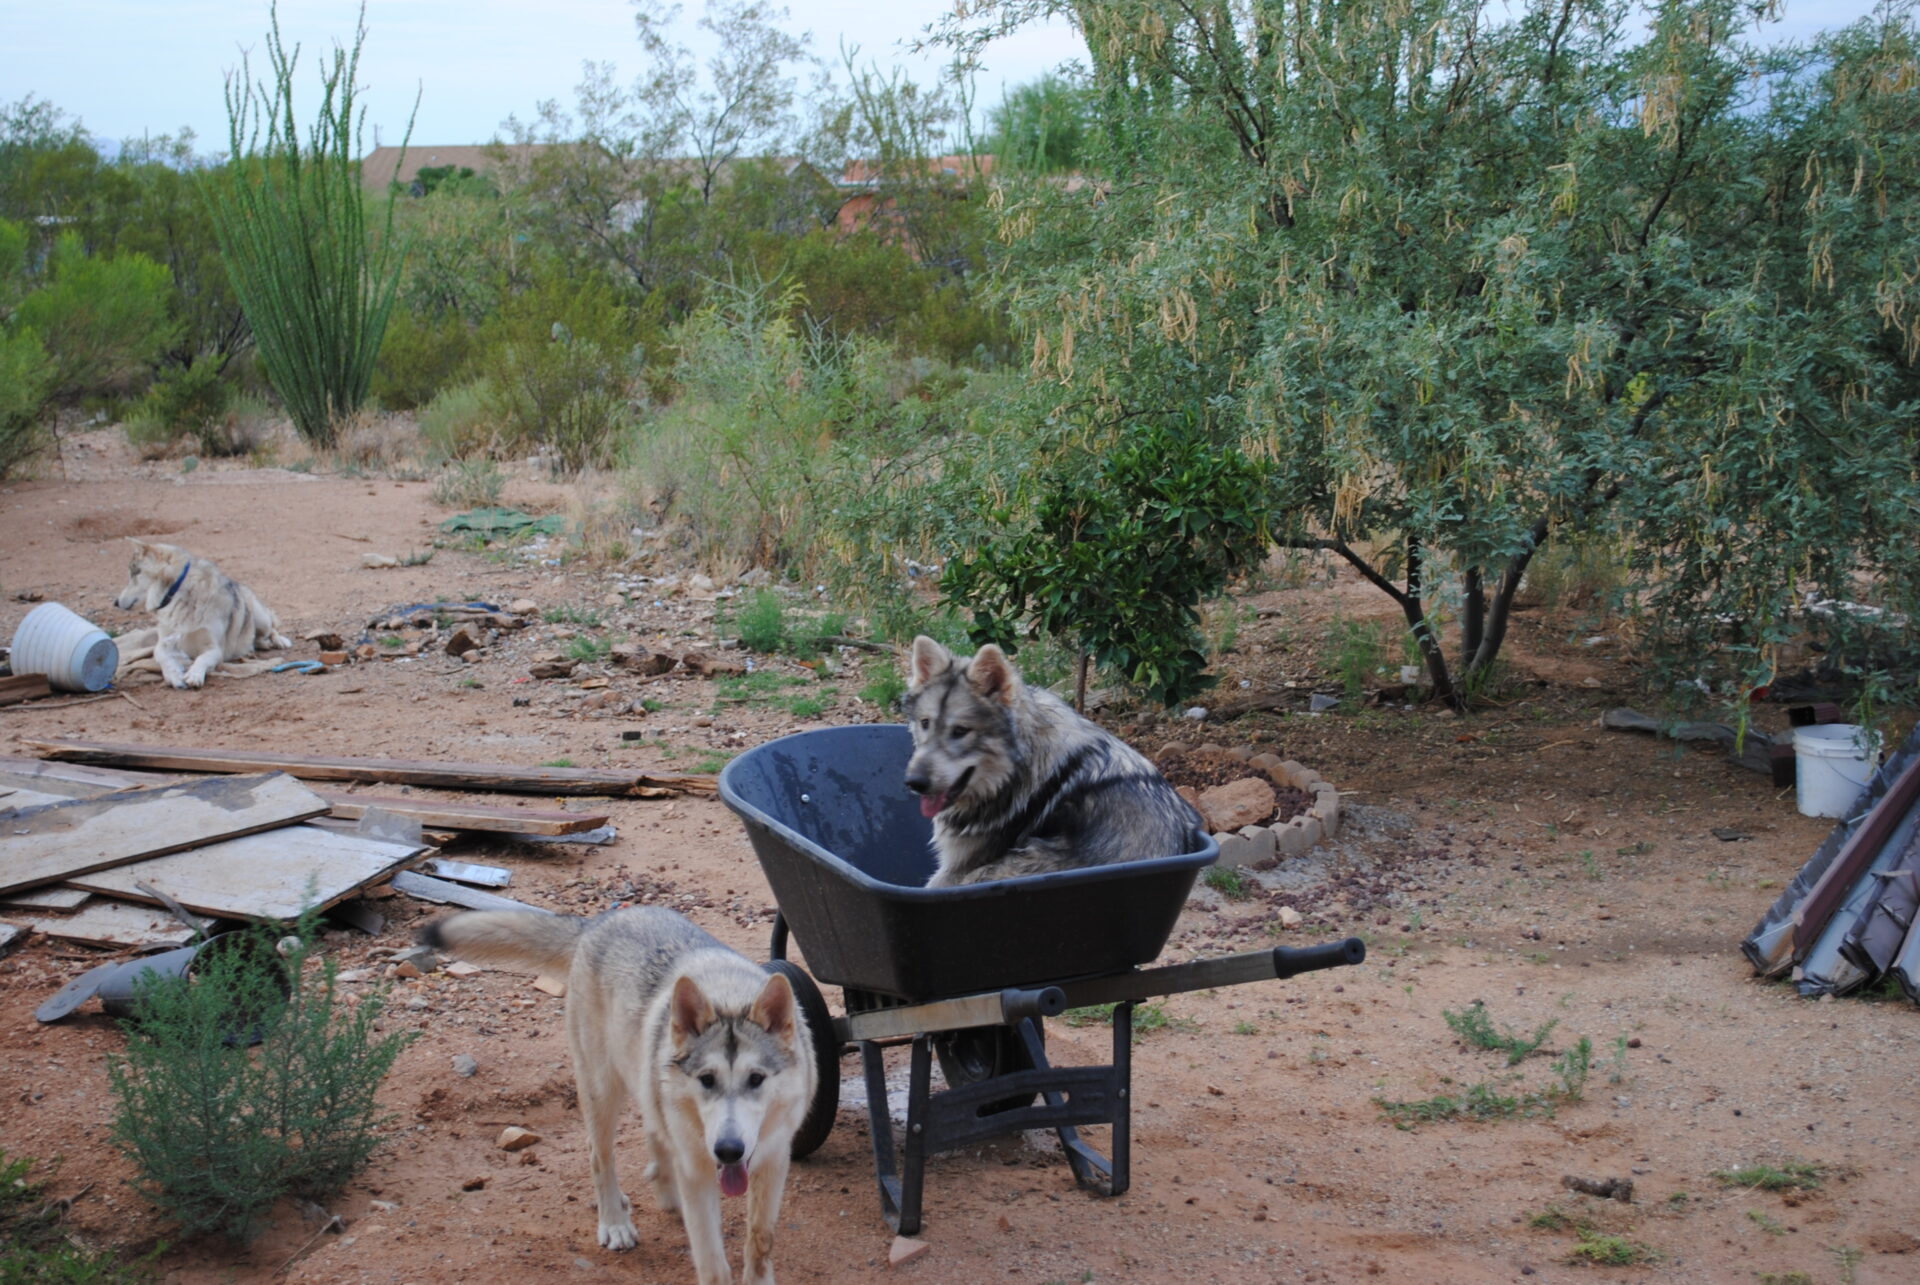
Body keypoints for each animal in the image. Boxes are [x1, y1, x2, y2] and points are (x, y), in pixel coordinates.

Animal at [112, 537, 289, 687]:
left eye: (133, 574)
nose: (115, 602)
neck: (177, 594)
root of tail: (239, 586)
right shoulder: (163, 643)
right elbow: (163, 658)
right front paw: (173, 675)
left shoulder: (215, 649)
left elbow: (201, 658)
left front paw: (194, 675)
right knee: (256, 639)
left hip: (260, 618)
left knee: (271, 629)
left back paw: (278, 641)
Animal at [424, 906, 814, 1275]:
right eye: (707, 1080)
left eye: (756, 1079)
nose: (729, 1150)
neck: (728, 995)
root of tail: (600, 921)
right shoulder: (697, 1172)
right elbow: (712, 1265)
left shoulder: (773, 1163)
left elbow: (759, 1247)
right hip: (602, 1092)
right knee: (600, 1158)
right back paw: (614, 1221)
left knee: (653, 1129)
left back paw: (665, 1190)